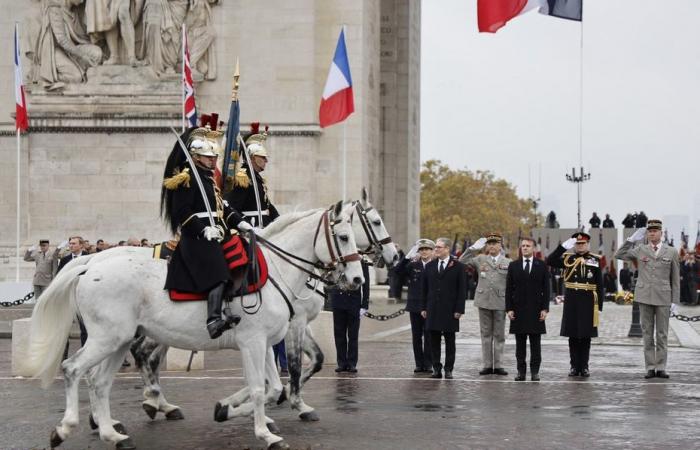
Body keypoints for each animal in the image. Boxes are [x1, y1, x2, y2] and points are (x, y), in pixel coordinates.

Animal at [24, 204, 364, 450]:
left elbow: (272, 386)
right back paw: (66, 428)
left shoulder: (265, 342)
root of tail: (90, 265)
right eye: (343, 237)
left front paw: (232, 411)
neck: (275, 271)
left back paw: (113, 433)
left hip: (118, 341)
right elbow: (259, 387)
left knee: (99, 381)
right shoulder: (254, 341)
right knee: (73, 369)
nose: (358, 279)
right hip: (106, 339)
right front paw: (265, 433)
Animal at [128, 190, 396, 426]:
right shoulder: (292, 324)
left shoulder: (293, 325)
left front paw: (268, 400)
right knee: (143, 353)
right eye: (376, 221)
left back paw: (159, 404)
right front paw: (292, 401)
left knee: (145, 355)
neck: (283, 267)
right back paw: (154, 402)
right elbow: (294, 366)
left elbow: (316, 359)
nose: (393, 256)